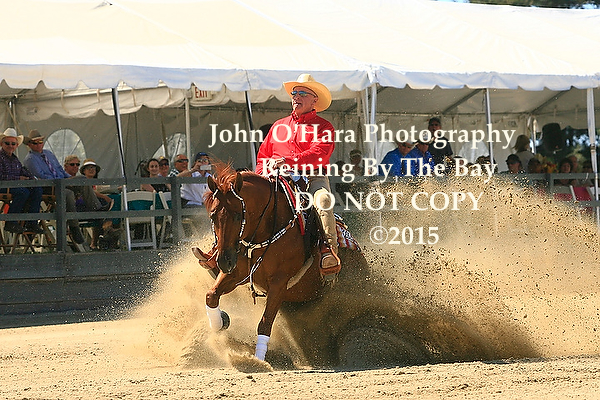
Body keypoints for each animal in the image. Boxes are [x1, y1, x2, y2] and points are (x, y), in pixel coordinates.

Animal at [199, 164, 351, 361]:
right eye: (213, 216)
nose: (224, 261)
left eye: (238, 216)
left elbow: (265, 323)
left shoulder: (279, 283)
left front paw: (258, 360)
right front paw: (220, 322)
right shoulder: (236, 273)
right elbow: (211, 295)